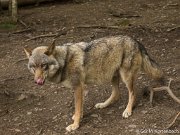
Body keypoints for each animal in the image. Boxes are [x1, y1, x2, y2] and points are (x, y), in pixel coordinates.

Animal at [23, 35, 163, 131]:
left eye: (43, 65)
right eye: (33, 67)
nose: (37, 81)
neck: (64, 61)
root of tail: (135, 40)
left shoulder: (78, 87)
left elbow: (78, 107)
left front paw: (75, 125)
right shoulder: (80, 88)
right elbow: (80, 107)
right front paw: (78, 117)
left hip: (125, 77)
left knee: (132, 93)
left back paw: (127, 111)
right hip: (112, 76)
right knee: (116, 94)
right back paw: (103, 105)